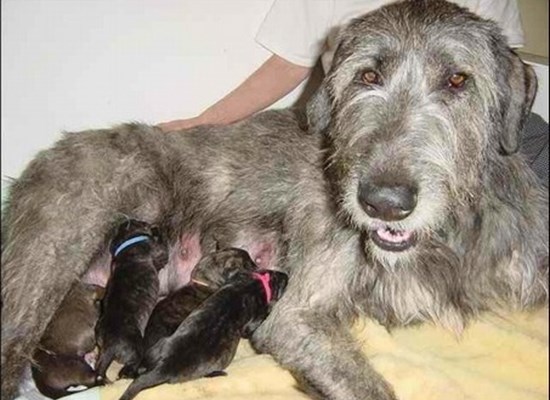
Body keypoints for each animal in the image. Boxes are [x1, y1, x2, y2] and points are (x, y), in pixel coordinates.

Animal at [95, 220, 168, 380]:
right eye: (141, 222)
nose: (148, 223)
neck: (127, 243)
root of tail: (110, 347)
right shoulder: (158, 253)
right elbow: (164, 249)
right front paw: (157, 230)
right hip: (137, 347)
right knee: (132, 363)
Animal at [119, 268, 292, 400]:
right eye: (283, 282)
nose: (286, 274)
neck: (258, 283)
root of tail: (165, 367)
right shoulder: (253, 320)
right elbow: (254, 324)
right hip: (219, 360)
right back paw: (219, 373)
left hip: (156, 347)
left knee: (142, 367)